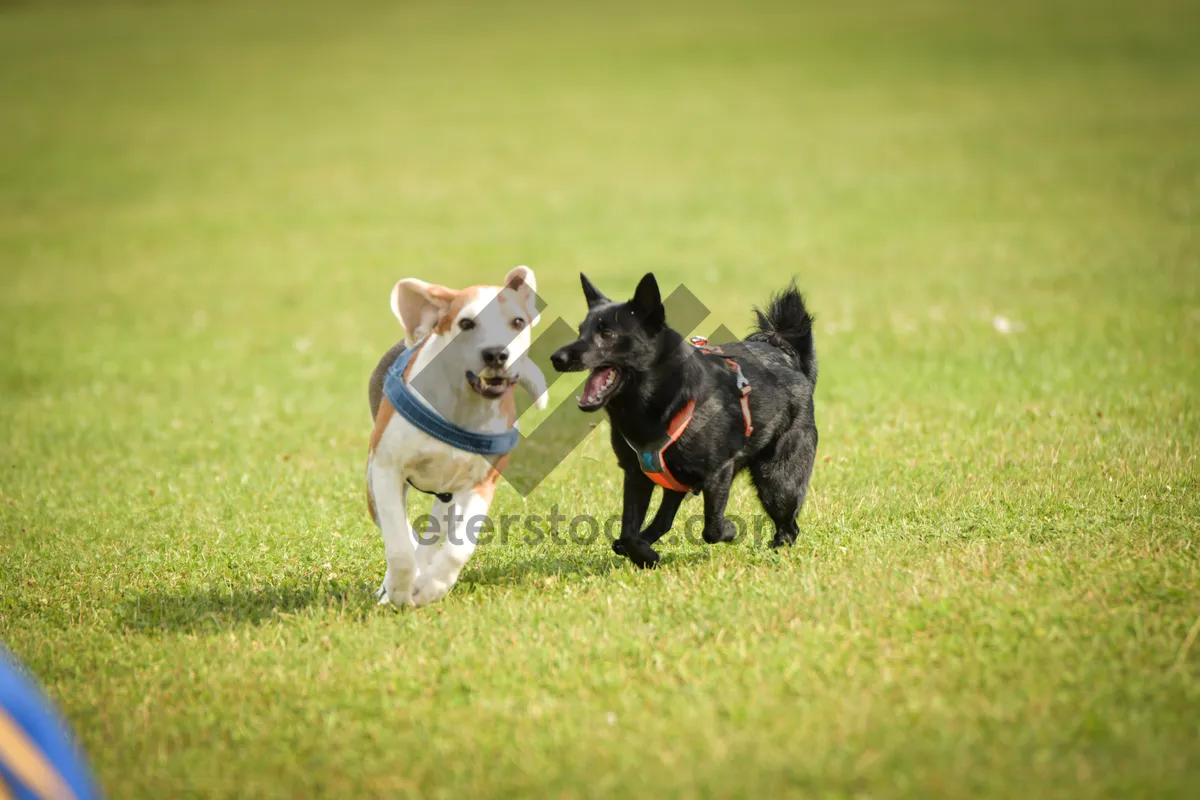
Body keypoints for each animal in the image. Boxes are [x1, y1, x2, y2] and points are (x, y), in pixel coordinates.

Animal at [364, 263, 549, 606]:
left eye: (518, 322)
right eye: (466, 323)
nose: (496, 354)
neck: (463, 406)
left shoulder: (480, 484)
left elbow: (457, 549)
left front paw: (431, 587)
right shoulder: (385, 471)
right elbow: (400, 546)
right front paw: (399, 592)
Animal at [549, 275, 816, 568]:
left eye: (607, 334)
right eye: (580, 331)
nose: (556, 358)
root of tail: (788, 357)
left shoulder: (719, 473)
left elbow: (712, 528)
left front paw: (730, 530)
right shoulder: (636, 475)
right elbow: (630, 531)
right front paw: (643, 555)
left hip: (777, 481)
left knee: (789, 526)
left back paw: (777, 551)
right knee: (663, 520)